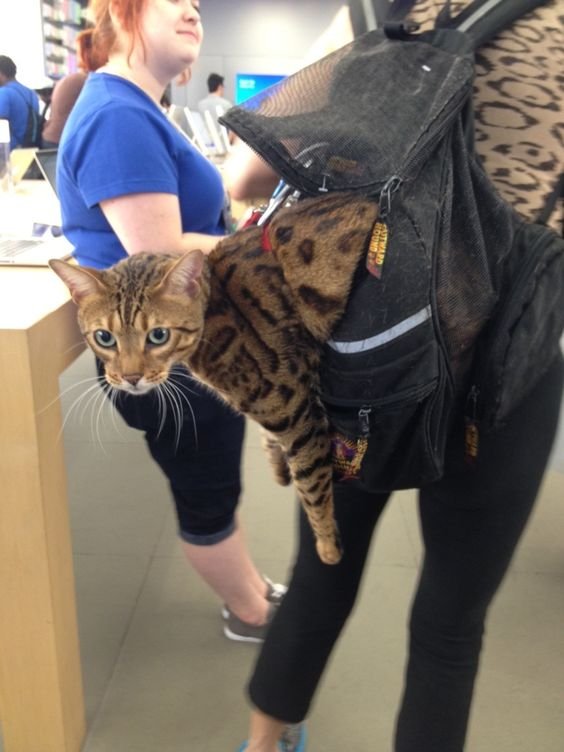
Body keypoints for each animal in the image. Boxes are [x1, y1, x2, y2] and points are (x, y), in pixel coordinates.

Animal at [50, 194, 378, 564]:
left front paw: (327, 545)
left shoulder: (295, 408)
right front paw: (276, 462)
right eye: (104, 338)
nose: (130, 377)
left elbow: (312, 481)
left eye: (158, 335)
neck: (216, 307)